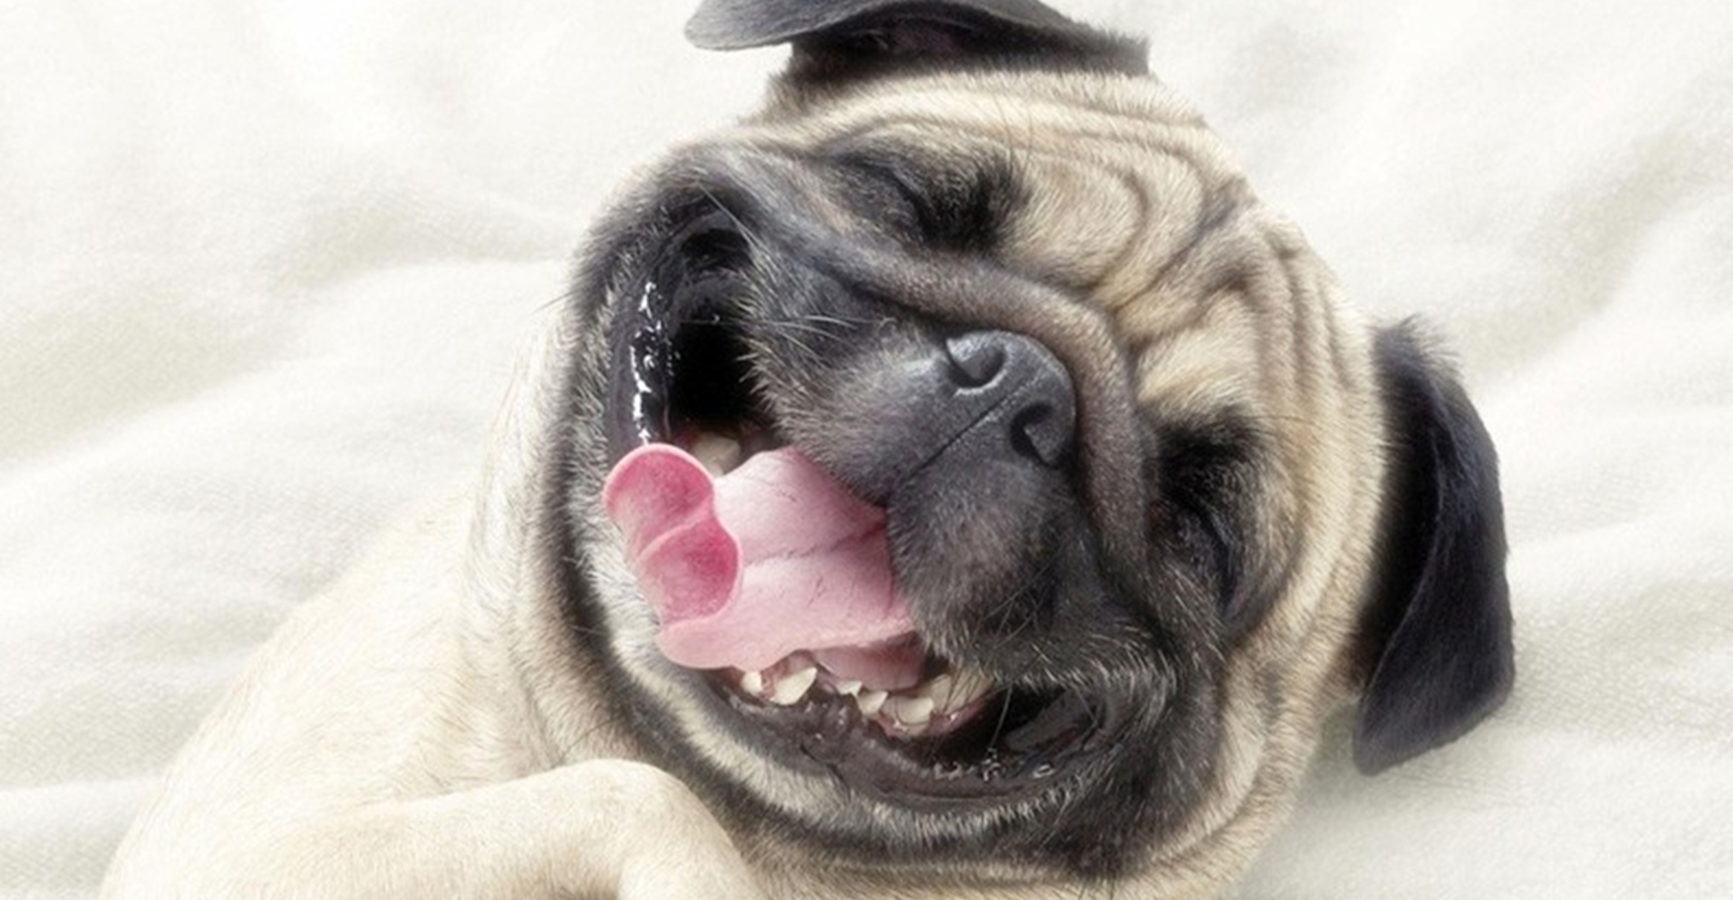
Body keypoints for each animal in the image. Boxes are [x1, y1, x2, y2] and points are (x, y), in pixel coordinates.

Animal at [103, 1, 1515, 897]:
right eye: (907, 203)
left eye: (1198, 528)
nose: (1014, 385)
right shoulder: (262, 855)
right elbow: (637, 799)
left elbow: (632, 798)